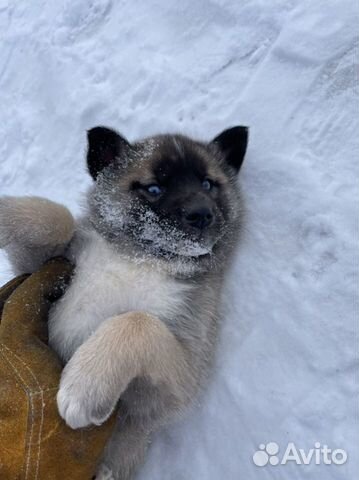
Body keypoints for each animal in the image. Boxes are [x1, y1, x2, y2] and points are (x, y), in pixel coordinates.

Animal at [0, 125, 248, 478]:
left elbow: (138, 320)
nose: (202, 214)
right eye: (154, 188)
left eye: (208, 184)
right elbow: (55, 217)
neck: (142, 260)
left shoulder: (172, 388)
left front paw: (84, 385)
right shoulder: (39, 269)